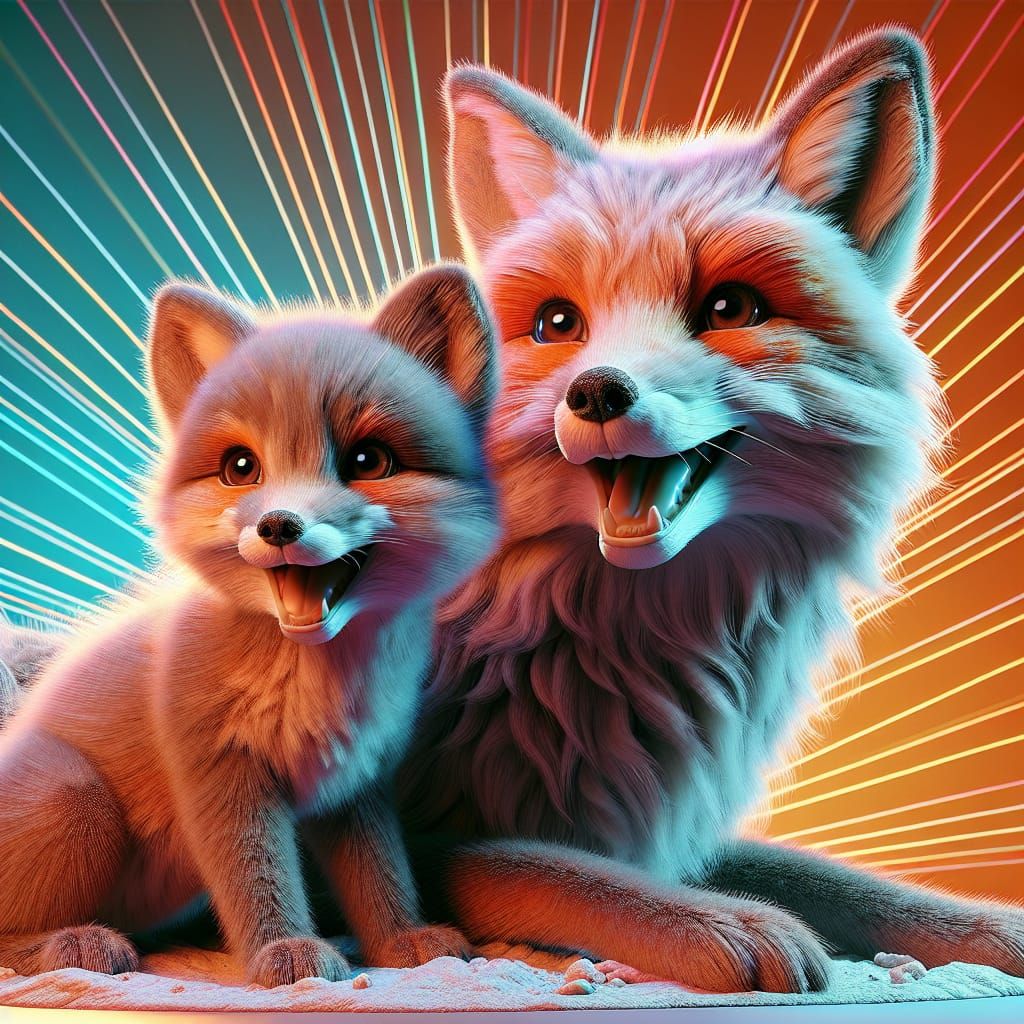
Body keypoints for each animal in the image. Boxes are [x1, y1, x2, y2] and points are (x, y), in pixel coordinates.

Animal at [0, 265, 498, 985]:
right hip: (78, 801)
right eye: (241, 467)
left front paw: (402, 941)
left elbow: (380, 874)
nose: (278, 525)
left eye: (369, 461)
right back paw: (78, 945)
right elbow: (259, 879)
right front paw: (284, 954)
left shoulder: (352, 783)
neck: (318, 684)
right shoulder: (222, 775)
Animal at [396, 28, 1024, 992]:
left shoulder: (657, 819)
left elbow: (832, 876)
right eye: (557, 324)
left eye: (730, 307)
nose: (598, 392)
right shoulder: (407, 829)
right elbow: (545, 868)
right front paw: (721, 924)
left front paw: (982, 924)